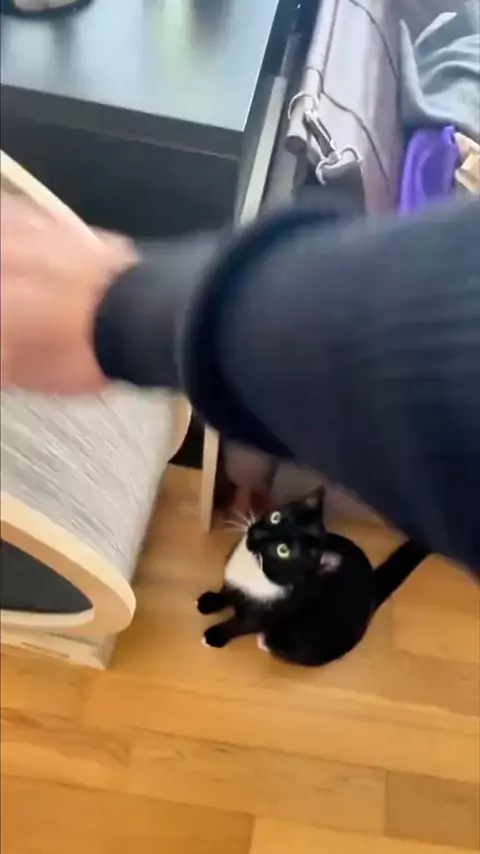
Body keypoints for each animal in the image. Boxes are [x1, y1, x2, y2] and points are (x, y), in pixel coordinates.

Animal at [197, 488, 428, 666]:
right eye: (276, 517)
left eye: (283, 550)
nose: (257, 534)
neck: (256, 569)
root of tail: (372, 586)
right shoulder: (234, 582)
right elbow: (226, 591)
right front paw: (209, 601)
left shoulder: (268, 612)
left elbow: (239, 625)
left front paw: (215, 636)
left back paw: (266, 642)